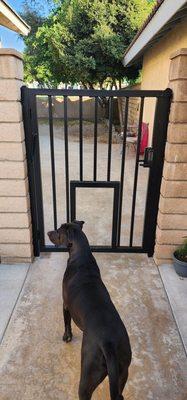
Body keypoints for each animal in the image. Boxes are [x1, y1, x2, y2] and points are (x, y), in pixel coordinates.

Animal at [47, 222, 131, 400]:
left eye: (58, 231)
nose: (48, 232)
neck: (81, 256)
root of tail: (108, 344)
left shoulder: (65, 305)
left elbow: (67, 323)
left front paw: (67, 337)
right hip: (123, 370)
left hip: (88, 373)